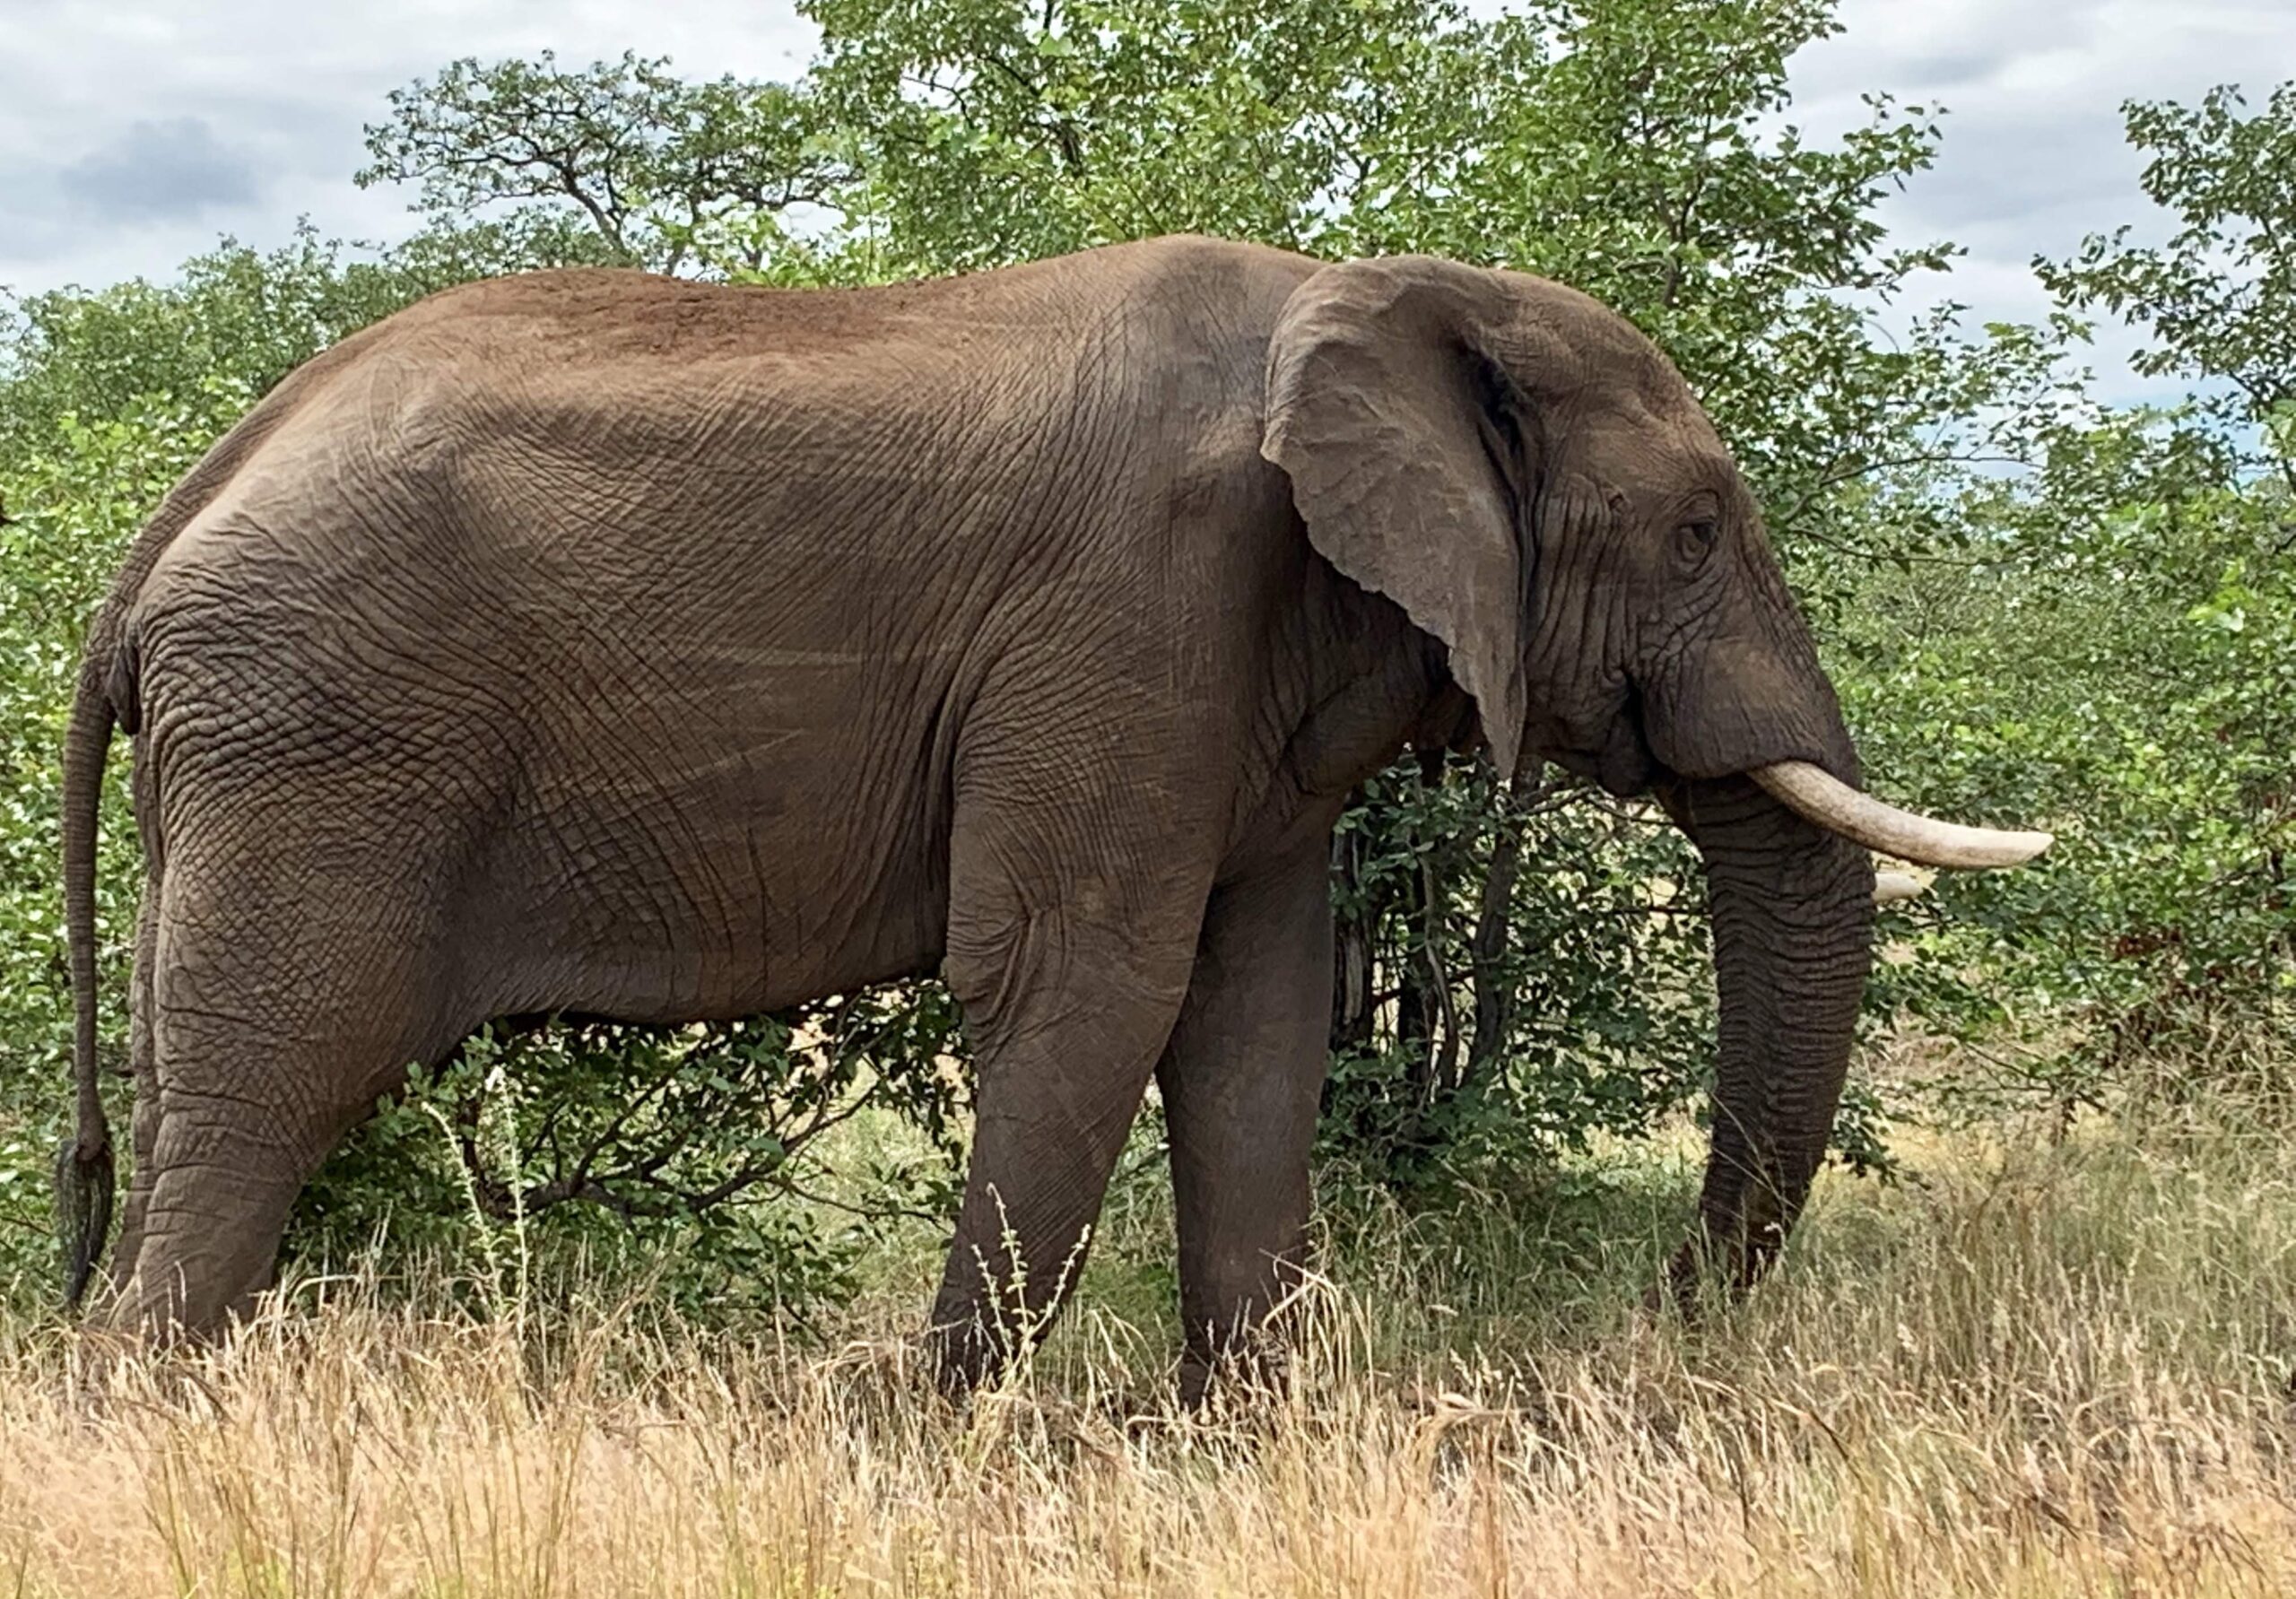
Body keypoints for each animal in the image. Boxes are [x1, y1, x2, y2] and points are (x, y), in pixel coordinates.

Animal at [49, 230, 2048, 1396]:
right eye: (1699, 529)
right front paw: (928, 1444)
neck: (1367, 290)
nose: (1648, 1333)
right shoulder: (1135, 604)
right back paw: (153, 1416)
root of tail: (161, 531)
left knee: (186, 1081)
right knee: (270, 1085)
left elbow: (1252, 1021)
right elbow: (1086, 987)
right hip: (325, 742)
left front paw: (1251, 1441)